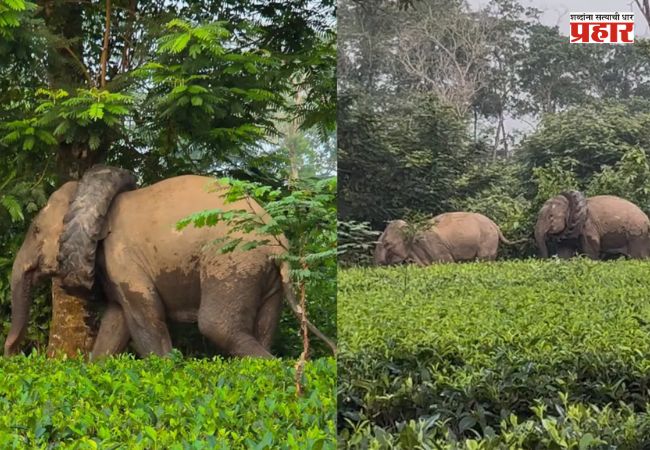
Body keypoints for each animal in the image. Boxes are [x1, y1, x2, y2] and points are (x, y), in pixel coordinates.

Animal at [3, 165, 335, 359]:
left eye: (36, 231)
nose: (10, 354)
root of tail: (278, 239)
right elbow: (116, 321)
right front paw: (95, 368)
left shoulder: (124, 260)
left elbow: (146, 315)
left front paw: (164, 367)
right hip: (266, 275)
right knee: (264, 326)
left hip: (233, 261)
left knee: (216, 326)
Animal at [374, 212, 524, 265]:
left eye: (387, 244)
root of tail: (495, 225)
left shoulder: (433, 243)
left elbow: (447, 262)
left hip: (487, 239)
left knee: (484, 259)